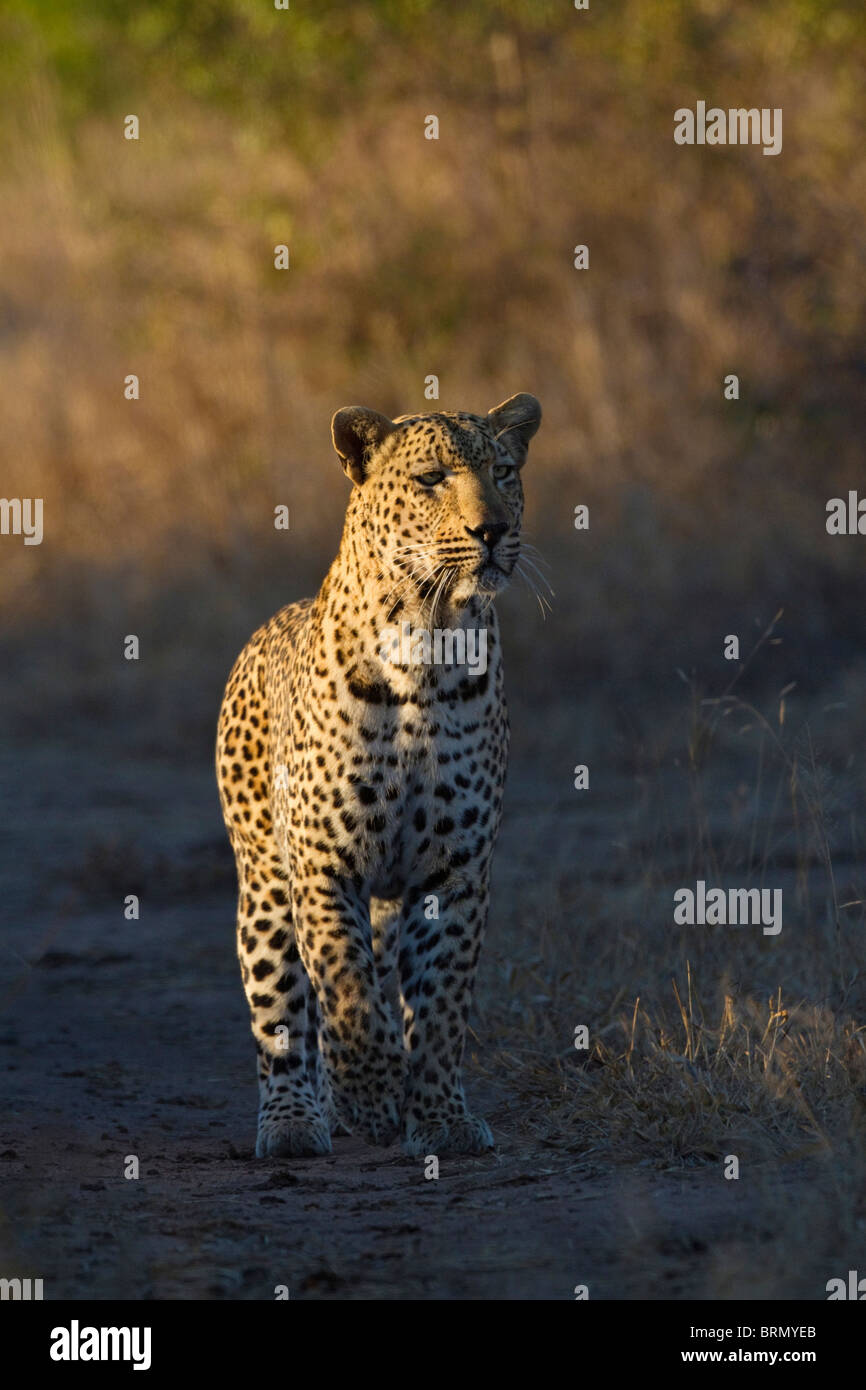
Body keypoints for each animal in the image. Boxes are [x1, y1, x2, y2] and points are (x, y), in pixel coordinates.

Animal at [216, 391, 542, 1162]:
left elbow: (443, 1003)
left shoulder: (455, 869)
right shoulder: (323, 862)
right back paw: (295, 1122)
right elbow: (344, 989)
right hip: (265, 887)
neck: (430, 638)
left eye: (505, 472)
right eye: (431, 479)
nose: (493, 530)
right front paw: (369, 1092)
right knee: (282, 1011)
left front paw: (441, 1116)